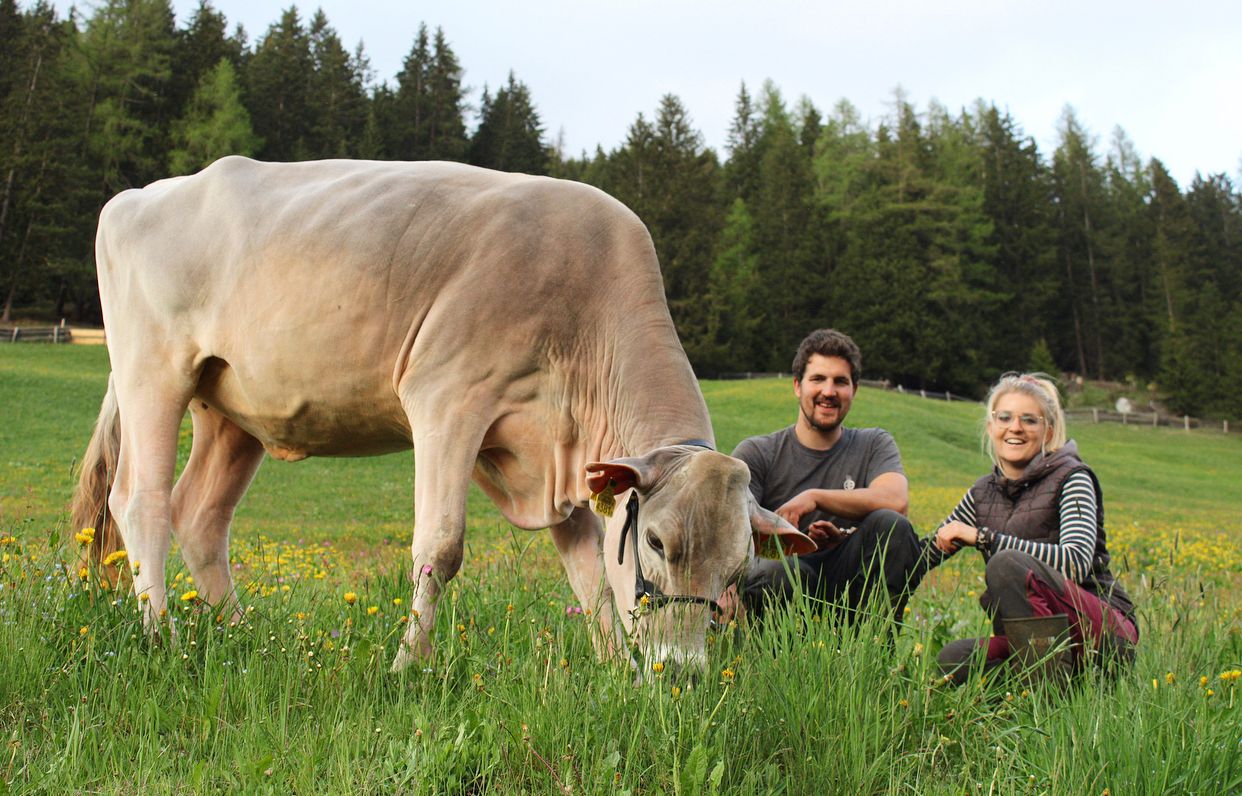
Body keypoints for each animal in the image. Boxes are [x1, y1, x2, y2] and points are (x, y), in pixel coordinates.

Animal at [70, 157, 813, 673]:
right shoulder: (448, 396)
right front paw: (407, 665)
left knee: (201, 515)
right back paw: (163, 638)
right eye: (658, 542)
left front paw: (614, 673)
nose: (682, 672)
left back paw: (242, 632)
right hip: (153, 370)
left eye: (739, 570)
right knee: (140, 500)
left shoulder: (562, 459)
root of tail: (141, 195)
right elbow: (441, 548)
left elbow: (589, 575)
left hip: (229, 410)